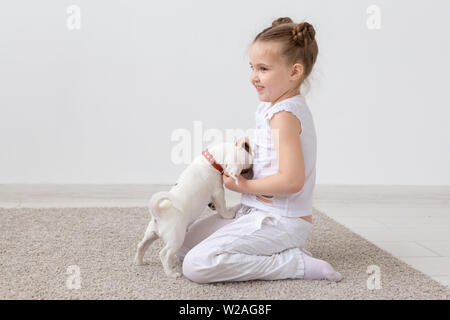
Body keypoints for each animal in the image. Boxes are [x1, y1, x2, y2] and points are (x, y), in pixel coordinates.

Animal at [134, 138, 253, 278]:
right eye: (245, 170)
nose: (252, 175)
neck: (210, 161)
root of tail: (159, 213)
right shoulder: (218, 191)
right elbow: (222, 207)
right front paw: (229, 214)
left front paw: (212, 206)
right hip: (176, 238)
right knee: (164, 254)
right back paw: (171, 273)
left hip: (151, 233)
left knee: (141, 245)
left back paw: (139, 262)